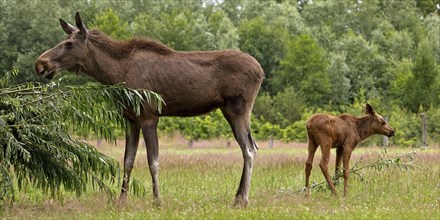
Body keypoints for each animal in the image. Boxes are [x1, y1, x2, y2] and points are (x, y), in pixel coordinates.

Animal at [34, 12, 262, 205]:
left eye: (69, 43)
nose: (40, 63)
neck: (114, 75)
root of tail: (261, 71)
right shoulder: (130, 119)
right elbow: (127, 161)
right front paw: (121, 200)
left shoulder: (149, 116)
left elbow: (153, 161)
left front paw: (157, 201)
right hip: (228, 110)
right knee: (251, 147)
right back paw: (238, 196)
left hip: (239, 108)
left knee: (249, 150)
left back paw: (242, 199)